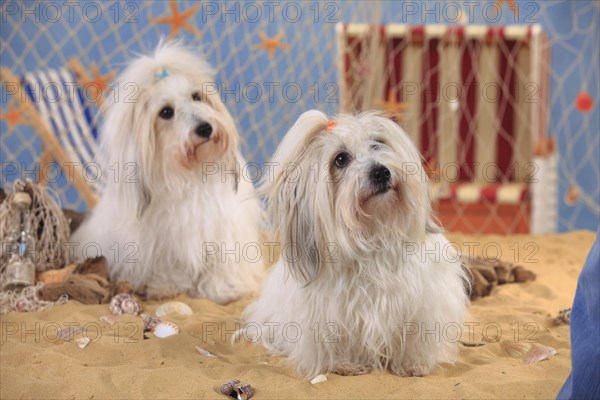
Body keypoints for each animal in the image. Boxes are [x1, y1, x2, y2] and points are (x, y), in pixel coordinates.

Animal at [71, 42, 262, 302]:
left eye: (197, 96)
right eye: (166, 112)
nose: (205, 128)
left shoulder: (225, 230)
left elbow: (223, 265)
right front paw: (168, 287)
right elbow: (170, 269)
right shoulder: (164, 243)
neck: (192, 175)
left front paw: (226, 289)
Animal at [241, 110, 472, 378]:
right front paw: (346, 363)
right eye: (341, 159)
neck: (374, 235)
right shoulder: (331, 313)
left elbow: (415, 337)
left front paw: (413, 363)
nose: (380, 172)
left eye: (377, 144)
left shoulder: (422, 302)